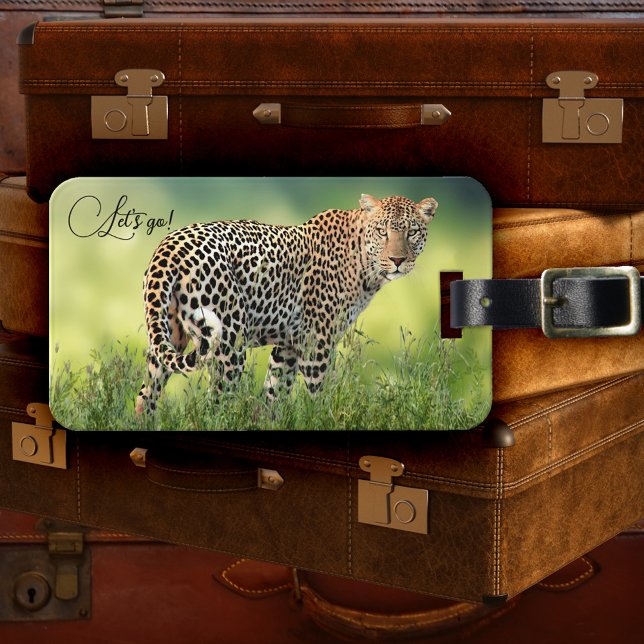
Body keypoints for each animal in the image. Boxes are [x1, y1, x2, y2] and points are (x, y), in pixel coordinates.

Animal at [135, 193, 438, 414]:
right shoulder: (316, 342)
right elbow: (319, 396)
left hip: (169, 337)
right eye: (382, 232)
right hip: (229, 342)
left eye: (412, 232)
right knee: (216, 404)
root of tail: (169, 245)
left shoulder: (289, 345)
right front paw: (325, 420)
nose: (398, 260)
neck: (365, 265)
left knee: (145, 395)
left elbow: (275, 393)